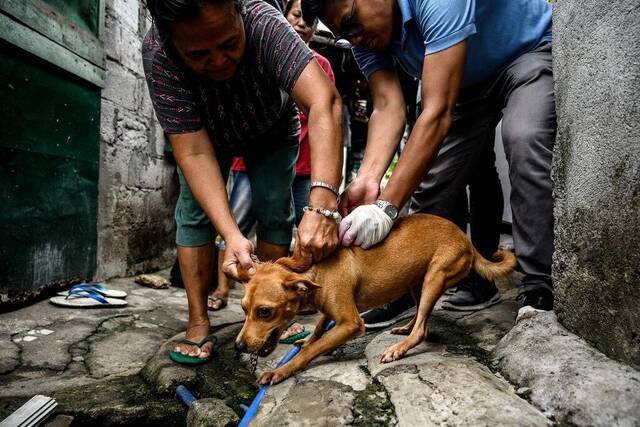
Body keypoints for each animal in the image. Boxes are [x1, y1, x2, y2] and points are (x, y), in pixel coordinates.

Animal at [234, 216, 516, 386]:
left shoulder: (350, 323)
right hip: (416, 281)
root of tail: (466, 239)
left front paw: (282, 370)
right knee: (419, 314)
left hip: (435, 277)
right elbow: (319, 328)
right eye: (244, 309)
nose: (238, 346)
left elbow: (313, 350)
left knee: (422, 328)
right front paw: (308, 339)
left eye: (265, 312)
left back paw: (399, 348)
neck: (314, 270)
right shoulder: (332, 312)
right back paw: (405, 328)